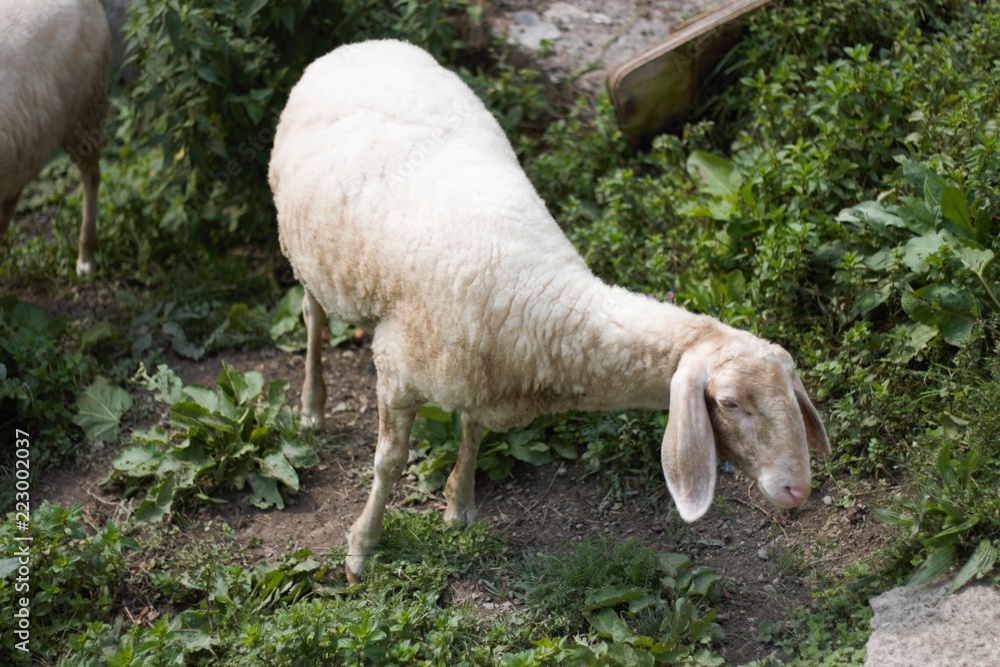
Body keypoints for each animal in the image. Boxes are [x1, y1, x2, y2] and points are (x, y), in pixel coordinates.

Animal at [269, 39, 831, 582]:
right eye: (731, 403)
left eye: (792, 390)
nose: (799, 490)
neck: (541, 299)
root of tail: (361, 45)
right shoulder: (397, 369)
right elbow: (389, 462)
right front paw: (362, 547)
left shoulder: (483, 377)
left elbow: (472, 434)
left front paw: (459, 505)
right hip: (302, 252)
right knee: (312, 319)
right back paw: (312, 408)